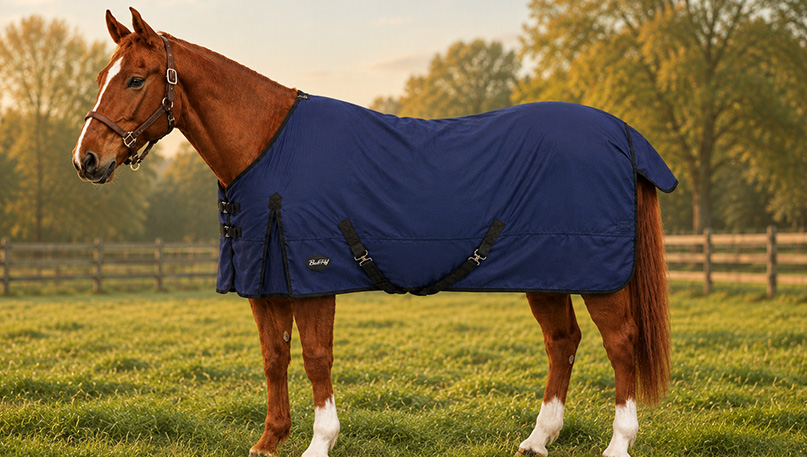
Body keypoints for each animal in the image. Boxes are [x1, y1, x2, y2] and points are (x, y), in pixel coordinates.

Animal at [72, 8, 672, 457]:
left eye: (135, 78)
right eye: (102, 77)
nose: (86, 160)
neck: (267, 147)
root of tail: (622, 132)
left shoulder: (312, 276)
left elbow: (315, 356)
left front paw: (320, 441)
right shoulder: (265, 281)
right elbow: (273, 357)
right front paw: (269, 441)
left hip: (598, 277)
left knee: (621, 343)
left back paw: (618, 443)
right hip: (548, 272)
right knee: (562, 342)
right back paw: (537, 439)